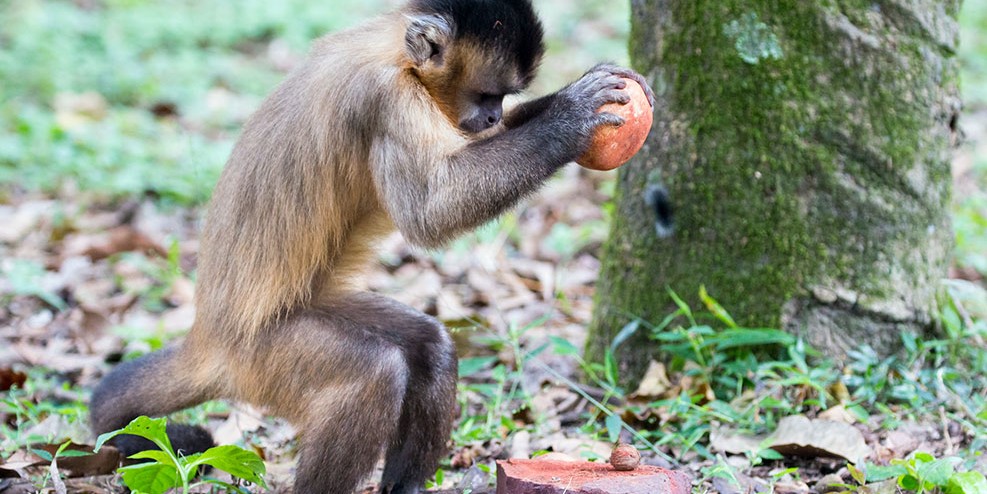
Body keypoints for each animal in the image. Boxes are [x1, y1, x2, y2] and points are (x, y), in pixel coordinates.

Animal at [87, 0, 656, 492]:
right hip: (260, 360)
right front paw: (571, 116)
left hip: (313, 309)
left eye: (503, 100)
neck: (394, 53)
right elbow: (432, 210)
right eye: (488, 94)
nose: (495, 117)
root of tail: (208, 337)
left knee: (428, 346)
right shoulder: (385, 97)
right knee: (374, 374)